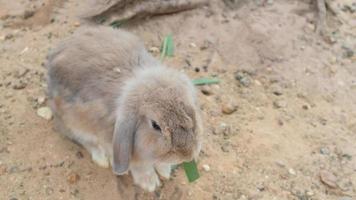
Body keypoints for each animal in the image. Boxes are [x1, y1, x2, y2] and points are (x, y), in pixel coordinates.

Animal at [45, 25, 202, 191]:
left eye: (191, 113)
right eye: (155, 125)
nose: (186, 155)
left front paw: (164, 171)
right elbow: (140, 166)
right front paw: (149, 183)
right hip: (72, 122)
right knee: (84, 140)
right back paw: (102, 158)